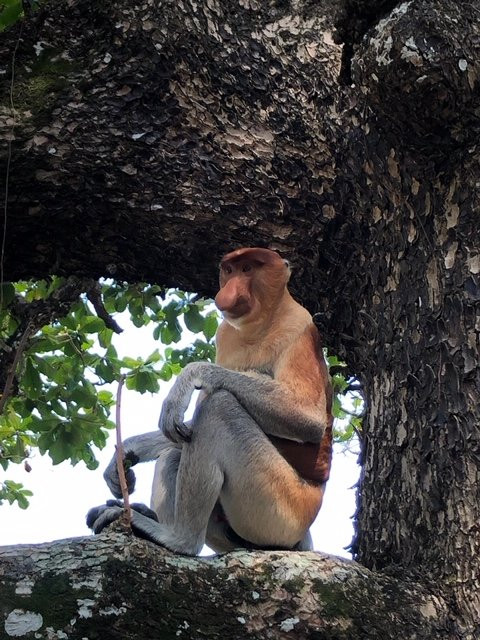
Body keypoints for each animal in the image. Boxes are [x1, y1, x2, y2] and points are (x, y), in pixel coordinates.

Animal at [87, 248, 334, 552]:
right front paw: (128, 451)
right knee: (175, 451)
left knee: (219, 407)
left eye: (248, 269)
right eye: (229, 271)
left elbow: (309, 419)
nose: (227, 292)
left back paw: (178, 539)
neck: (258, 325)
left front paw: (191, 375)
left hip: (282, 509)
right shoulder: (225, 333)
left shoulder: (298, 324)